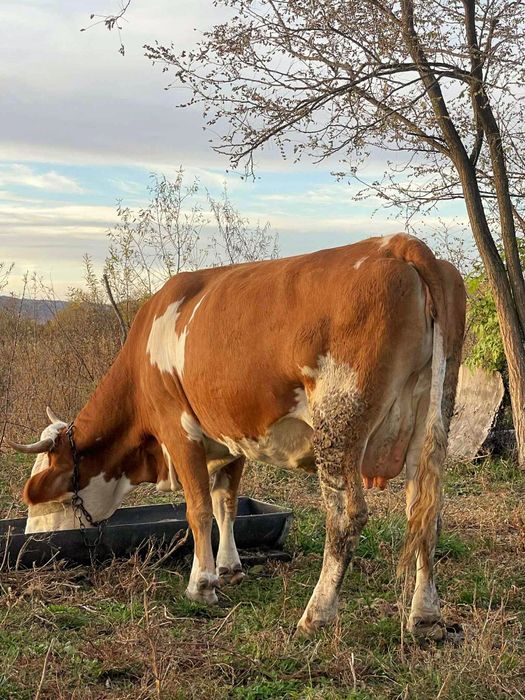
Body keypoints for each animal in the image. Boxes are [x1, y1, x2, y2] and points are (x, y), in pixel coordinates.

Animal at [8, 233, 465, 639]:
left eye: (53, 496)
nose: (35, 539)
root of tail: (398, 244)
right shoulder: (233, 435)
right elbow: (225, 503)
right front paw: (228, 568)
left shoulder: (179, 429)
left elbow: (198, 510)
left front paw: (202, 584)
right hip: (432, 419)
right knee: (427, 512)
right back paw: (426, 618)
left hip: (339, 424)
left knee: (346, 517)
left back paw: (316, 615)